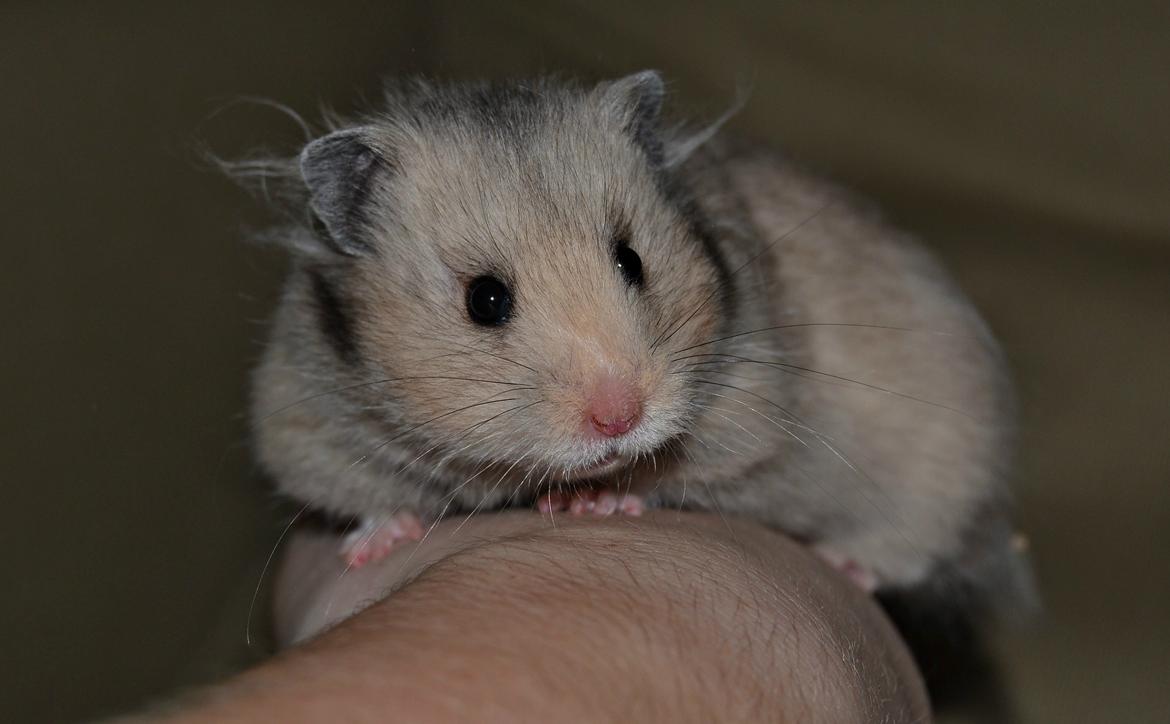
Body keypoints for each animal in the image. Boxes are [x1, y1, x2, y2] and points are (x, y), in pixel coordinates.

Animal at [246, 71, 1034, 614]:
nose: (619, 417)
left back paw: (849, 565)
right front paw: (373, 543)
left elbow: (674, 471)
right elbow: (358, 492)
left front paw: (595, 502)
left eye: (631, 259)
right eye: (485, 299)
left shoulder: (749, 410)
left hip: (951, 467)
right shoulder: (303, 420)